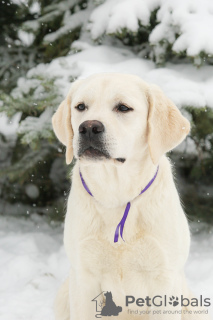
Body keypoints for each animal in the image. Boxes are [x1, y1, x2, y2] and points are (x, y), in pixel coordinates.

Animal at [52, 73, 210, 320]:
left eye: (123, 108)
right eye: (80, 107)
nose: (88, 127)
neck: (116, 194)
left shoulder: (164, 279)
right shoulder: (84, 277)